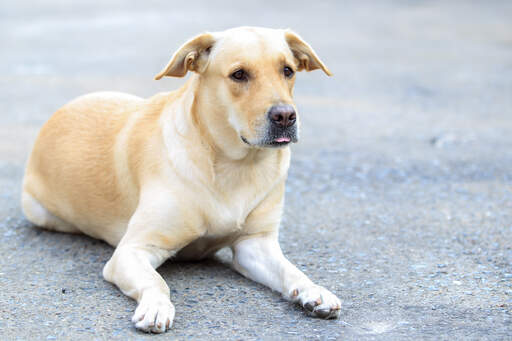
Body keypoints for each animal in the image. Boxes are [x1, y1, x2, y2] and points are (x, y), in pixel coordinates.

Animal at [21, 26, 340, 332]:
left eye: (287, 70)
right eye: (239, 74)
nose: (285, 116)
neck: (236, 164)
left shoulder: (254, 244)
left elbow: (290, 270)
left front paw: (313, 290)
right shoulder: (132, 250)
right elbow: (157, 282)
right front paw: (156, 306)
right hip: (42, 213)